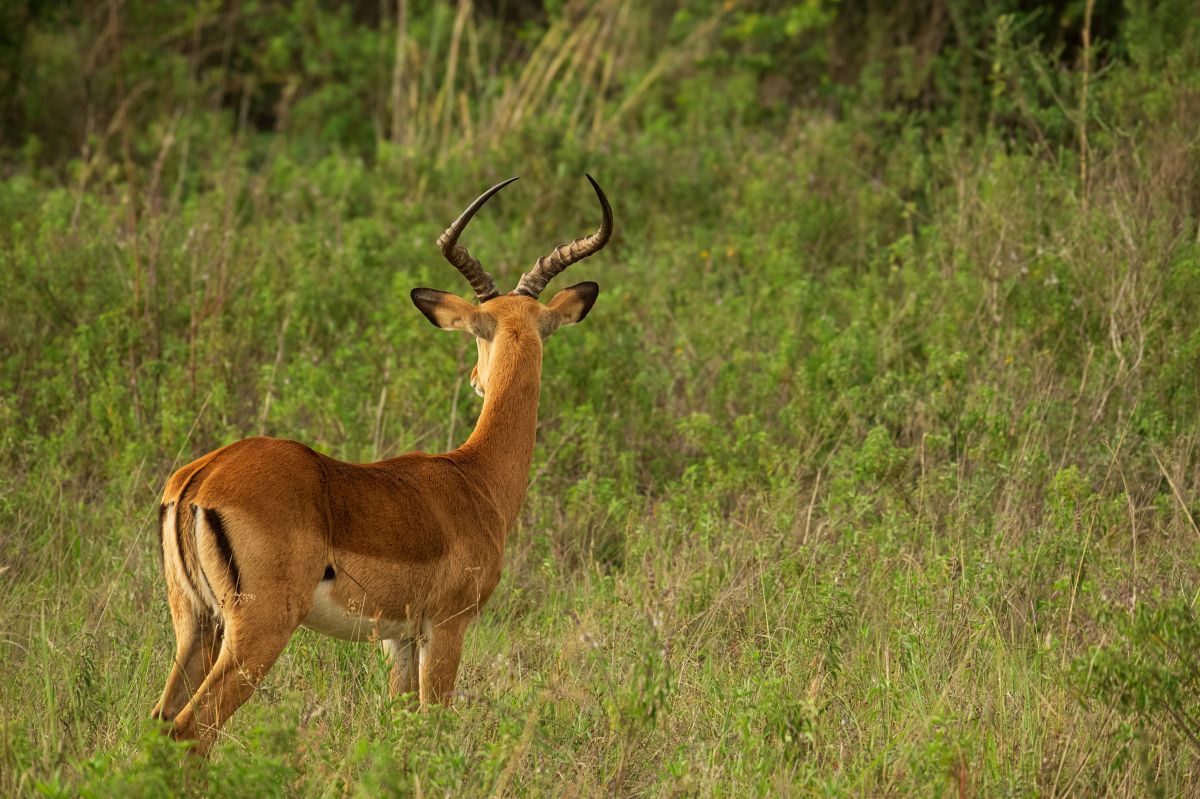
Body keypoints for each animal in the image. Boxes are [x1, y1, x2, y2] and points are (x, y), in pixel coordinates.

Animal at [149, 175, 613, 753]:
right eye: (476, 334)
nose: (476, 382)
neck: (474, 477)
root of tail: (199, 480)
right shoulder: (446, 628)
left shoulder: (399, 640)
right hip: (258, 630)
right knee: (191, 728)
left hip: (195, 624)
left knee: (159, 720)